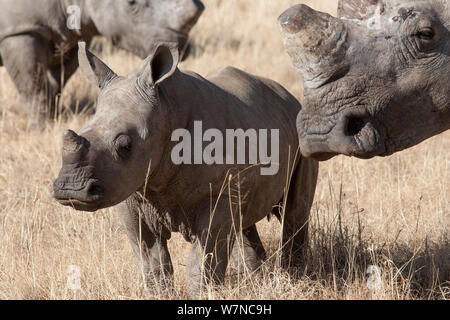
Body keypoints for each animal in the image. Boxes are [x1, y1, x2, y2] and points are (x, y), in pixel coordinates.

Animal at [0, 0, 204, 127]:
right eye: (131, 3)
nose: (180, 47)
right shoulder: (21, 30)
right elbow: (33, 85)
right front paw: (41, 126)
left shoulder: (75, 34)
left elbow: (57, 81)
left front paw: (54, 118)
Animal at [52, 42, 318, 296]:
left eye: (125, 146)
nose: (71, 189)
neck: (166, 111)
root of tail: (286, 94)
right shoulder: (131, 193)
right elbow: (152, 260)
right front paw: (161, 294)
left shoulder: (216, 194)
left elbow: (203, 259)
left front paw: (202, 294)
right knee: (243, 220)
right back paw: (256, 280)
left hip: (301, 129)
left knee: (294, 212)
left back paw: (295, 276)